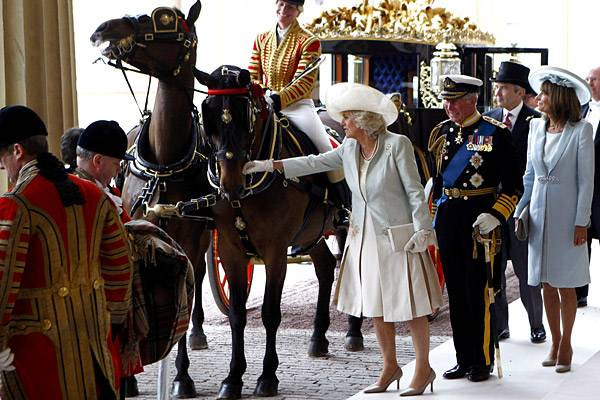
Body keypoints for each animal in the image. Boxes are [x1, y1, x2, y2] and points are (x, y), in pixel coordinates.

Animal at [89, 2, 209, 396]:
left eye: (165, 19)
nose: (103, 27)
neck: (165, 159)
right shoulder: (140, 224)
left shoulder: (192, 238)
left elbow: (189, 289)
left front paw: (182, 376)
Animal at [195, 65, 350, 396]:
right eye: (207, 114)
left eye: (245, 116)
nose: (230, 184)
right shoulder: (230, 250)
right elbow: (237, 314)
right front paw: (233, 377)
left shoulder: (275, 251)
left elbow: (269, 313)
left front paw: (267, 376)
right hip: (312, 234)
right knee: (325, 267)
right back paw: (318, 338)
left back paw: (353, 334)